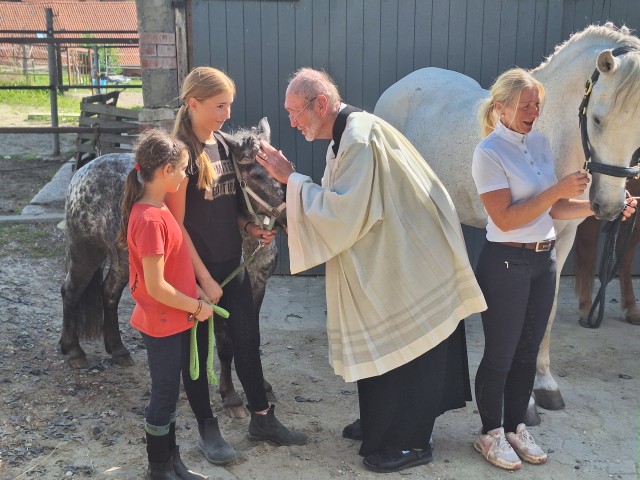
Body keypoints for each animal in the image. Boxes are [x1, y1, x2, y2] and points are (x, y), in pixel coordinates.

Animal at [58, 117, 284, 416]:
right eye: (256, 175)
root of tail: (83, 170)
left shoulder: (255, 288)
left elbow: (251, 337)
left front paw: (263, 386)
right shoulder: (216, 292)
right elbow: (226, 344)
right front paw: (231, 397)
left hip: (122, 261)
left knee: (109, 294)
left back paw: (118, 350)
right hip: (86, 251)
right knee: (71, 292)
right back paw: (73, 351)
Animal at [372, 23, 640, 424]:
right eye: (597, 119)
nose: (608, 206)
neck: (549, 133)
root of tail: (399, 86)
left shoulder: (562, 240)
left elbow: (547, 311)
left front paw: (544, 384)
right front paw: (524, 403)